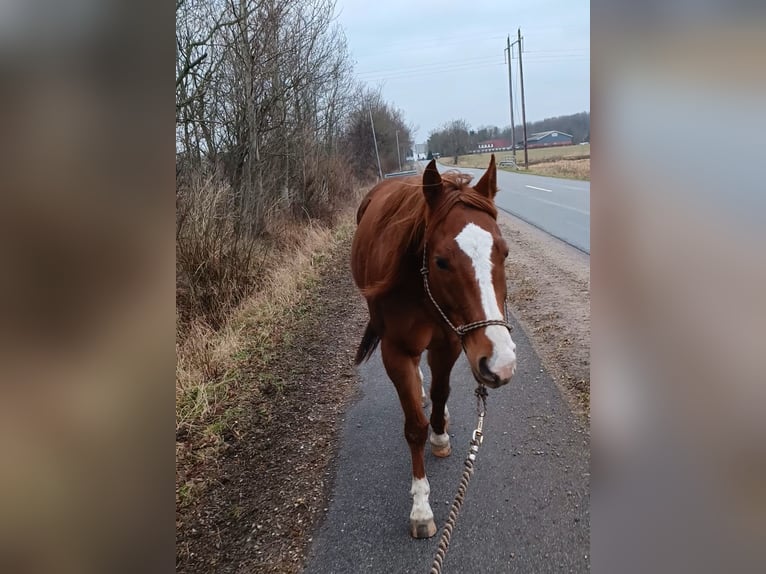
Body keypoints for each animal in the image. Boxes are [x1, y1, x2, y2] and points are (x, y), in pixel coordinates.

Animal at [351, 156, 517, 538]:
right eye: (441, 261)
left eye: (504, 252)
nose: (501, 363)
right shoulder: (396, 352)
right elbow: (414, 427)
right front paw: (420, 507)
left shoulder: (451, 343)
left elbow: (442, 393)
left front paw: (440, 435)